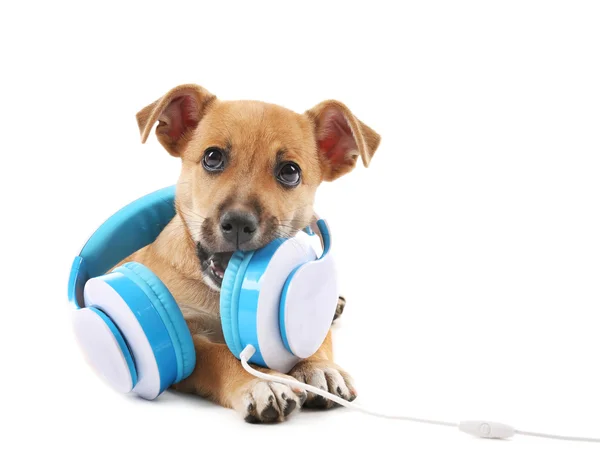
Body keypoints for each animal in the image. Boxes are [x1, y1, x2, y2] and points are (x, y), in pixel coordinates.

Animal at [117, 83, 380, 422]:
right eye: (212, 157)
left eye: (290, 172)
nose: (239, 224)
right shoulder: (185, 333)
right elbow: (215, 354)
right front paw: (259, 381)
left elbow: (314, 334)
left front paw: (318, 366)